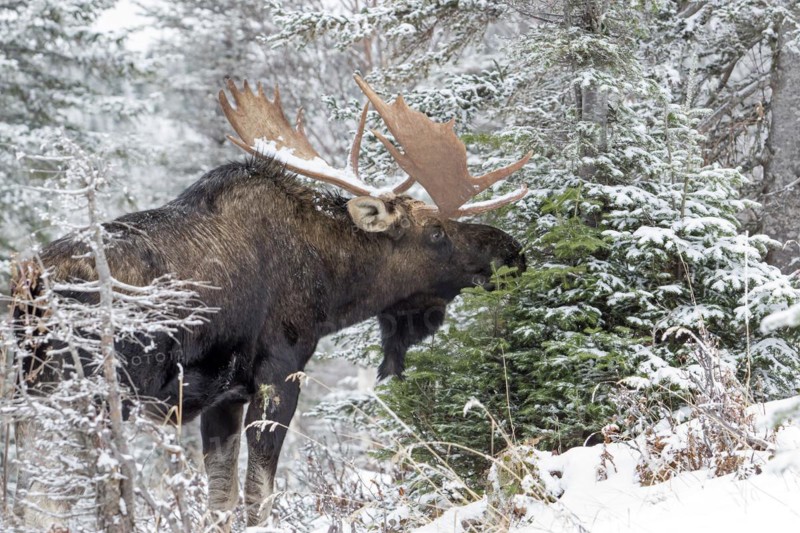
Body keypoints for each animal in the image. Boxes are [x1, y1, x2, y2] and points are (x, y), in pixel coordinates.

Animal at [15, 74, 531, 528]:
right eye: (437, 231)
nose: (513, 252)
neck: (331, 285)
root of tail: (30, 286)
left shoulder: (224, 399)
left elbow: (220, 501)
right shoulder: (279, 373)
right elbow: (258, 496)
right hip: (86, 396)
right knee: (50, 503)